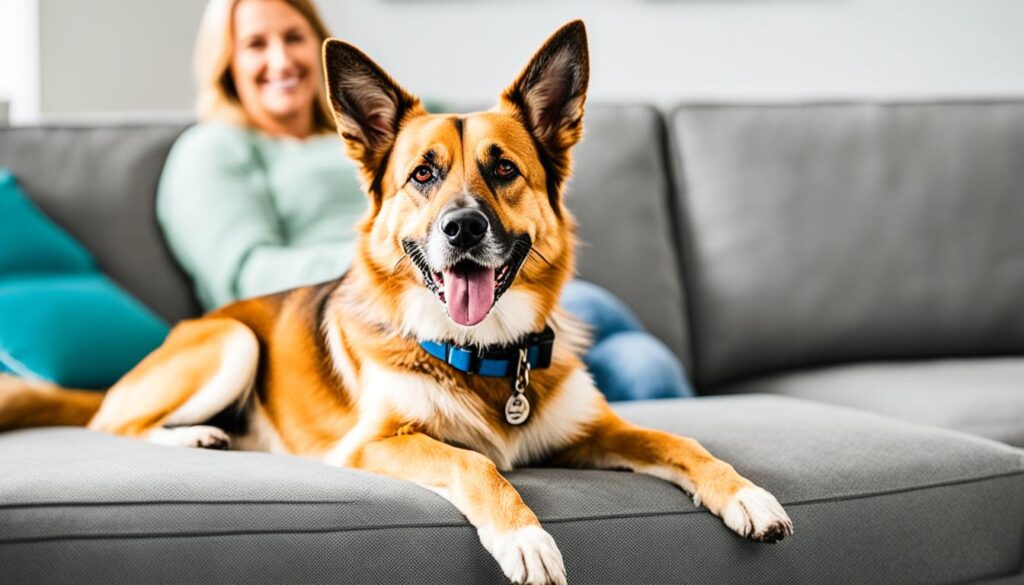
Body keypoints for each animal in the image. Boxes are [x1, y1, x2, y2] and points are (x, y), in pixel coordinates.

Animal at [0, 19, 790, 585]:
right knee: (113, 423)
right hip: (233, 342)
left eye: (504, 170)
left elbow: (682, 442)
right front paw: (526, 536)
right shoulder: (380, 443)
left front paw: (746, 493)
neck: (485, 352)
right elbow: (476, 465)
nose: (462, 228)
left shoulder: (594, 430)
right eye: (423, 174)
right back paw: (194, 435)